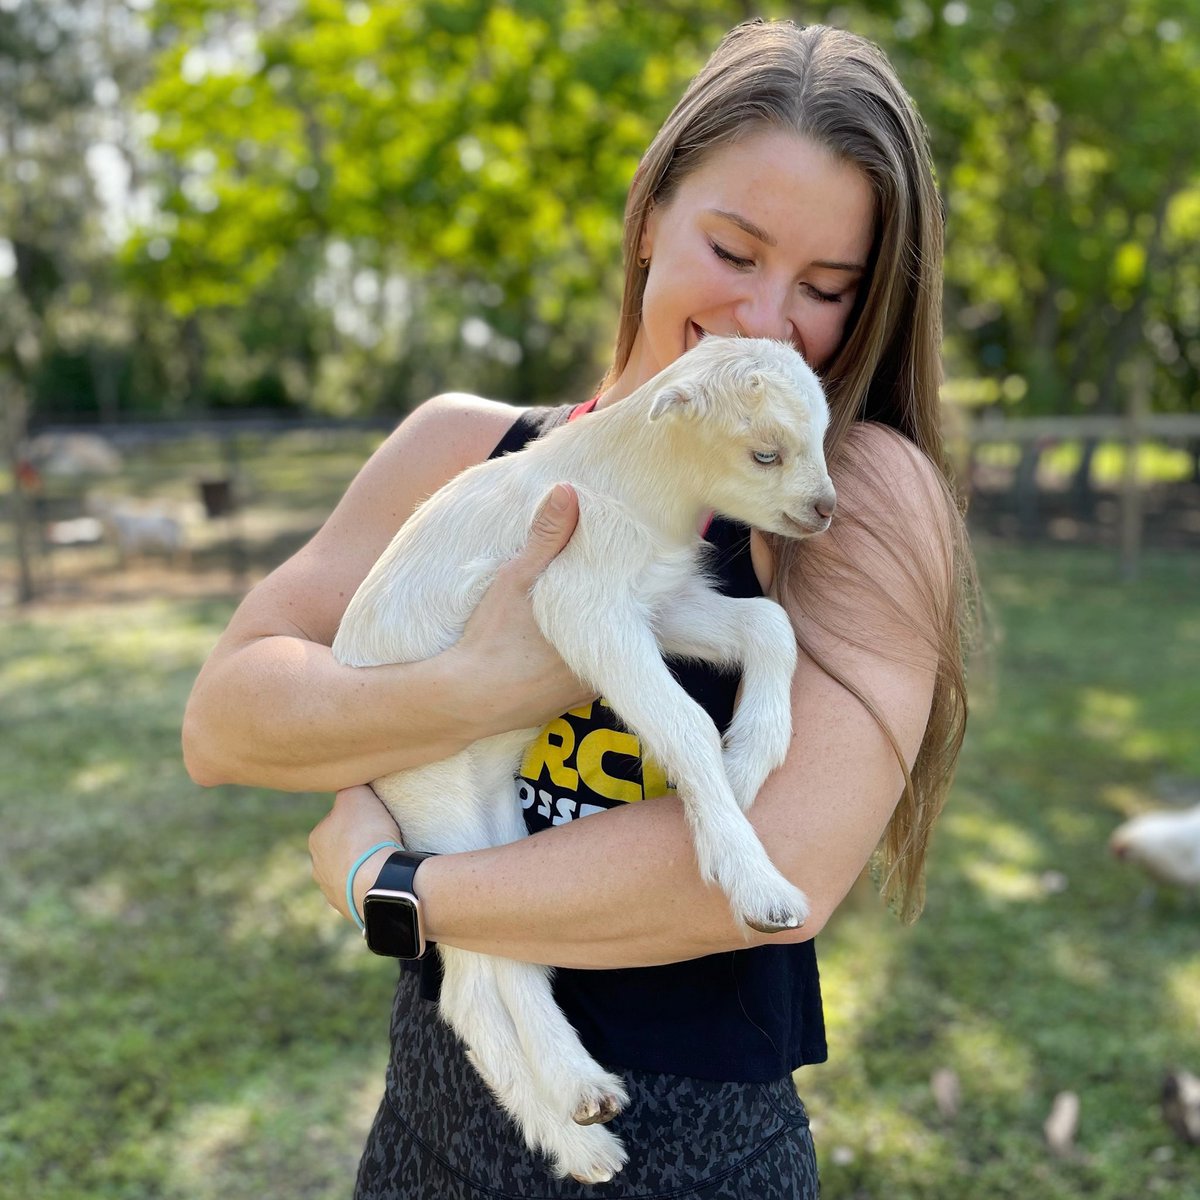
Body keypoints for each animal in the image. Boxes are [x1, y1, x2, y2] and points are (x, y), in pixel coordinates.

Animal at [332, 335, 835, 1183]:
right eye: (765, 452)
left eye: (826, 436)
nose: (827, 508)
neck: (636, 489)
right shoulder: (582, 603)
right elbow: (684, 720)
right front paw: (752, 877)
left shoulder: (660, 602)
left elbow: (768, 623)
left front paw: (749, 758)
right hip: (431, 788)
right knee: (477, 978)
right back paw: (578, 1101)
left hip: (485, 815)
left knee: (495, 954)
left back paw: (581, 1127)